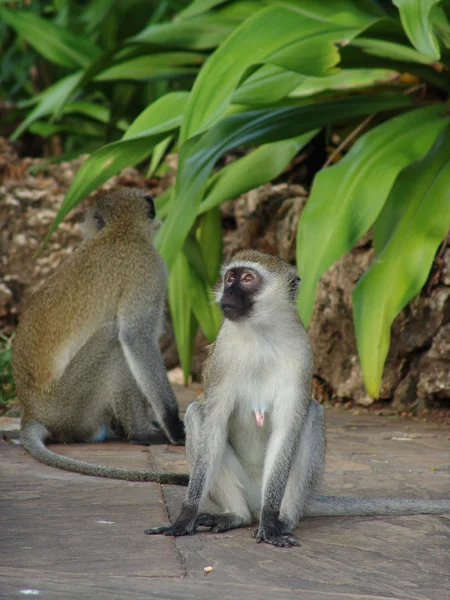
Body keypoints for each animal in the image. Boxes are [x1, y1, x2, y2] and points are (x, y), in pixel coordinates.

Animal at [12, 190, 187, 486]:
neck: (120, 232)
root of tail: (31, 412)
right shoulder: (150, 267)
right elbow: (135, 338)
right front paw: (173, 426)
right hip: (69, 406)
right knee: (113, 338)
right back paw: (140, 433)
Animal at [147, 251, 450, 548]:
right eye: (230, 277)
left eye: (247, 279)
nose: (228, 293)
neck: (260, 333)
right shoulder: (222, 355)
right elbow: (214, 426)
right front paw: (185, 517)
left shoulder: (302, 352)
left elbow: (287, 430)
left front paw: (271, 522)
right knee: (197, 415)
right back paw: (236, 515)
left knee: (312, 414)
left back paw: (281, 519)